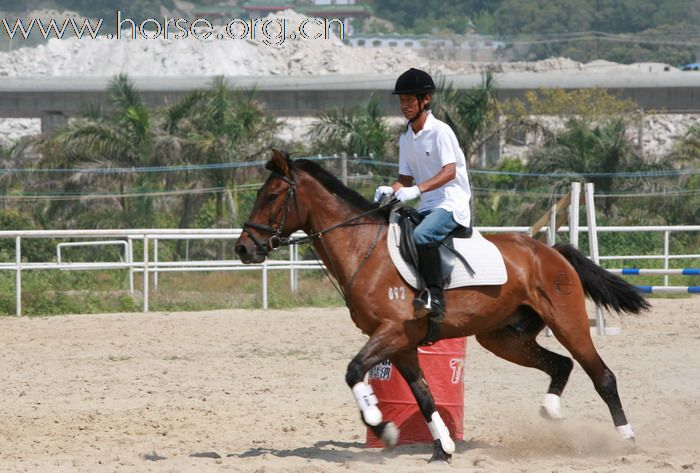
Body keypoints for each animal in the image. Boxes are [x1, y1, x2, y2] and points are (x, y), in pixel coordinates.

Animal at [235, 150, 652, 460]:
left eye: (271, 196)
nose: (243, 248)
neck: (364, 250)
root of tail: (550, 251)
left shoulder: (391, 332)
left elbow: (354, 372)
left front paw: (381, 424)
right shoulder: (400, 344)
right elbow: (423, 395)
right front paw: (442, 447)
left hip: (568, 322)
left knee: (601, 375)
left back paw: (626, 439)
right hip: (503, 338)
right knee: (560, 364)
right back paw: (550, 410)